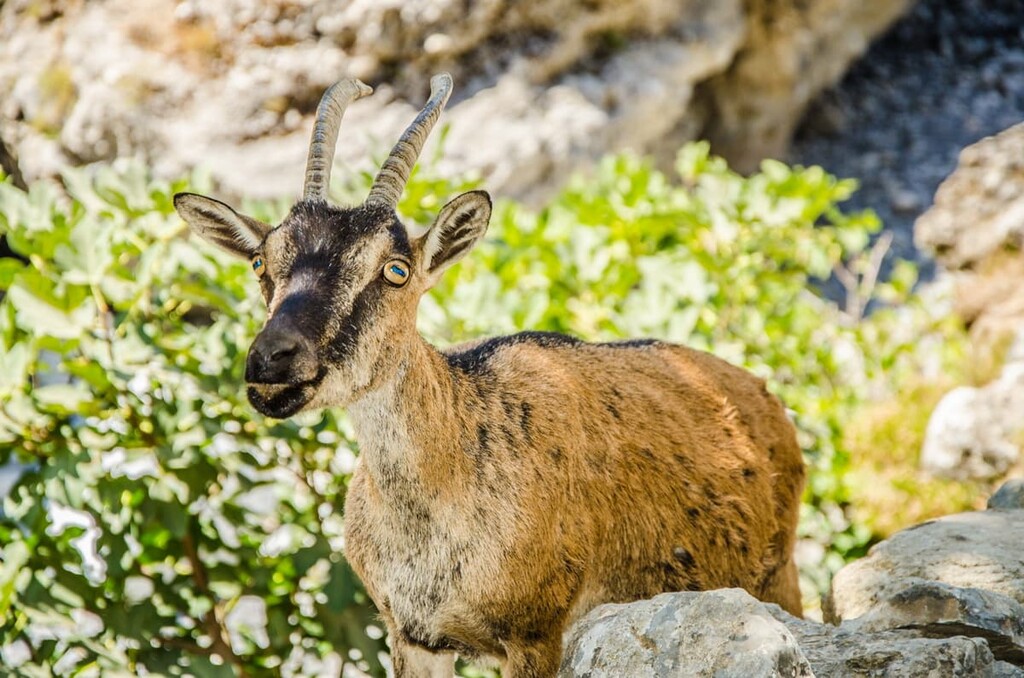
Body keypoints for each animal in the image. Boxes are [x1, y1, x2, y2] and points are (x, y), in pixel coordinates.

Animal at [174, 74, 805, 677]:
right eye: (262, 262)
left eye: (396, 270)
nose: (272, 360)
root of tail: (764, 399)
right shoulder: (413, 634)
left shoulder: (535, 632)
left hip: (779, 575)